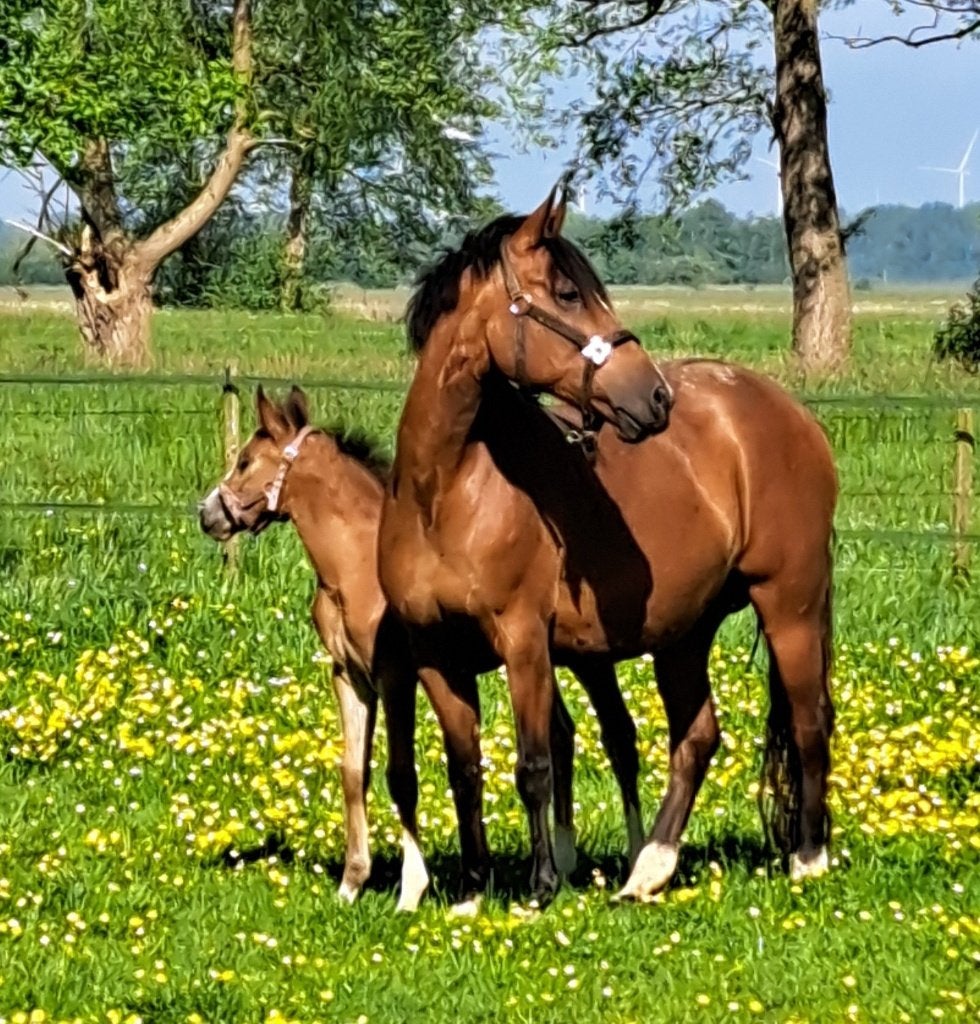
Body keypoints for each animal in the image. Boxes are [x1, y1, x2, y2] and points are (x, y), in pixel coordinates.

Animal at [198, 386, 644, 911]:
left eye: (245, 461)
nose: (207, 514)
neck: (353, 567)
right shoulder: (348, 676)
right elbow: (353, 772)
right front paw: (352, 881)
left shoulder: (395, 676)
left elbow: (401, 775)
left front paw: (412, 887)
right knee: (562, 734)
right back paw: (567, 860)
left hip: (584, 660)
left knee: (618, 735)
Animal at [378, 182, 838, 907]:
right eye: (568, 294)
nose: (654, 397)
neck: (442, 492)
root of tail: (794, 417)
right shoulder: (435, 653)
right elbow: (463, 766)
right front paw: (473, 890)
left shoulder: (524, 642)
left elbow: (534, 764)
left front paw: (539, 888)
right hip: (685, 631)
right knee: (697, 737)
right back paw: (648, 868)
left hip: (789, 605)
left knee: (808, 719)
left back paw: (807, 858)